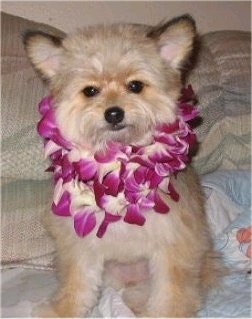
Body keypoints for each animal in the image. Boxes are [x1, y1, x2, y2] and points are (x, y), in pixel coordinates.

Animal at [23, 14, 220, 318]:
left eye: (135, 86)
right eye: (90, 91)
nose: (114, 113)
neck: (118, 162)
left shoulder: (174, 244)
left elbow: (171, 293)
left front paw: (166, 313)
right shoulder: (80, 246)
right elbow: (77, 285)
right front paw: (62, 310)